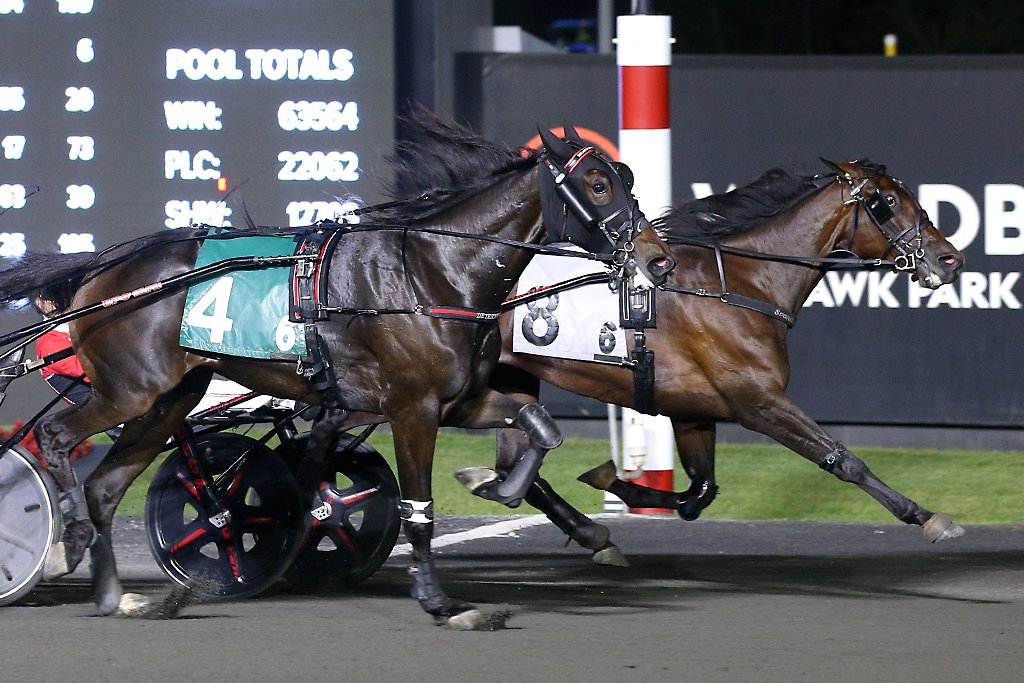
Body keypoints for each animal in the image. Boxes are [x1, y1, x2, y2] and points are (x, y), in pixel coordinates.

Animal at [2, 114, 679, 626]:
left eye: (624, 177)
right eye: (597, 184)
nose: (657, 260)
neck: (432, 272)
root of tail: (100, 273)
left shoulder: (459, 400)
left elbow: (540, 423)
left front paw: (509, 491)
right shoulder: (412, 407)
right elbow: (419, 505)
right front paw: (439, 600)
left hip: (169, 399)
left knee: (106, 486)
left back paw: (117, 595)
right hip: (128, 390)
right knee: (58, 438)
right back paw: (68, 540)